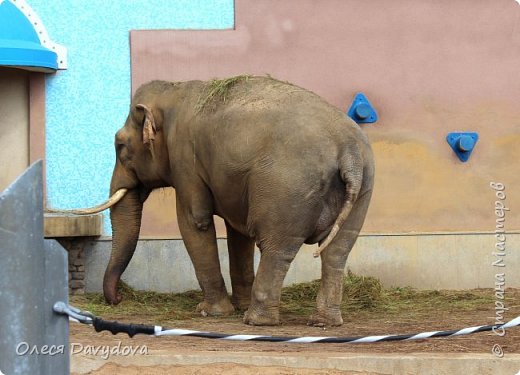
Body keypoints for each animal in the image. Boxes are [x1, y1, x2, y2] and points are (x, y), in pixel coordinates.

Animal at [100, 75, 374, 326]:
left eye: (120, 146)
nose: (118, 299)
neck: (175, 90)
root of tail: (348, 149)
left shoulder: (184, 160)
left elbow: (194, 222)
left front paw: (211, 311)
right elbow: (238, 233)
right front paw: (236, 305)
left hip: (288, 189)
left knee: (277, 248)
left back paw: (256, 320)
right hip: (362, 189)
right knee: (337, 251)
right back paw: (322, 321)